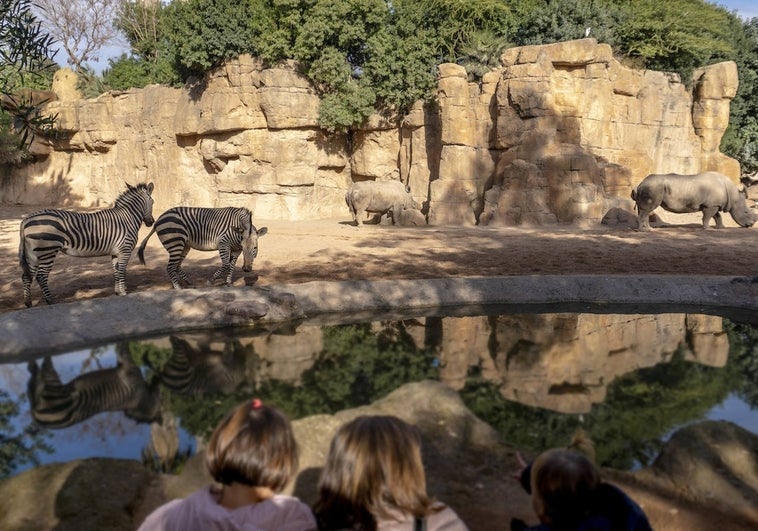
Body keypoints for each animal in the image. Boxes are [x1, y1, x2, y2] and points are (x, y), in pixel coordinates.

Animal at [18, 183, 154, 308]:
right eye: (152, 202)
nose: (151, 222)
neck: (127, 218)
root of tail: (26, 220)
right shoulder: (125, 250)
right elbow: (121, 271)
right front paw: (124, 293)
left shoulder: (116, 252)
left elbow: (116, 272)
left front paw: (117, 292)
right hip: (48, 251)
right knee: (41, 276)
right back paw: (50, 301)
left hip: (32, 253)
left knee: (26, 276)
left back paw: (28, 303)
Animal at [138, 206, 268, 288]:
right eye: (244, 246)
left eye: (255, 248)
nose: (246, 269)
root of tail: (159, 219)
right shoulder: (223, 244)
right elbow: (226, 265)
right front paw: (211, 281)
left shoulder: (236, 250)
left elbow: (231, 266)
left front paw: (228, 283)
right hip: (175, 243)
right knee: (170, 267)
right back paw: (177, 287)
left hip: (184, 245)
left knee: (177, 265)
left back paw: (189, 283)